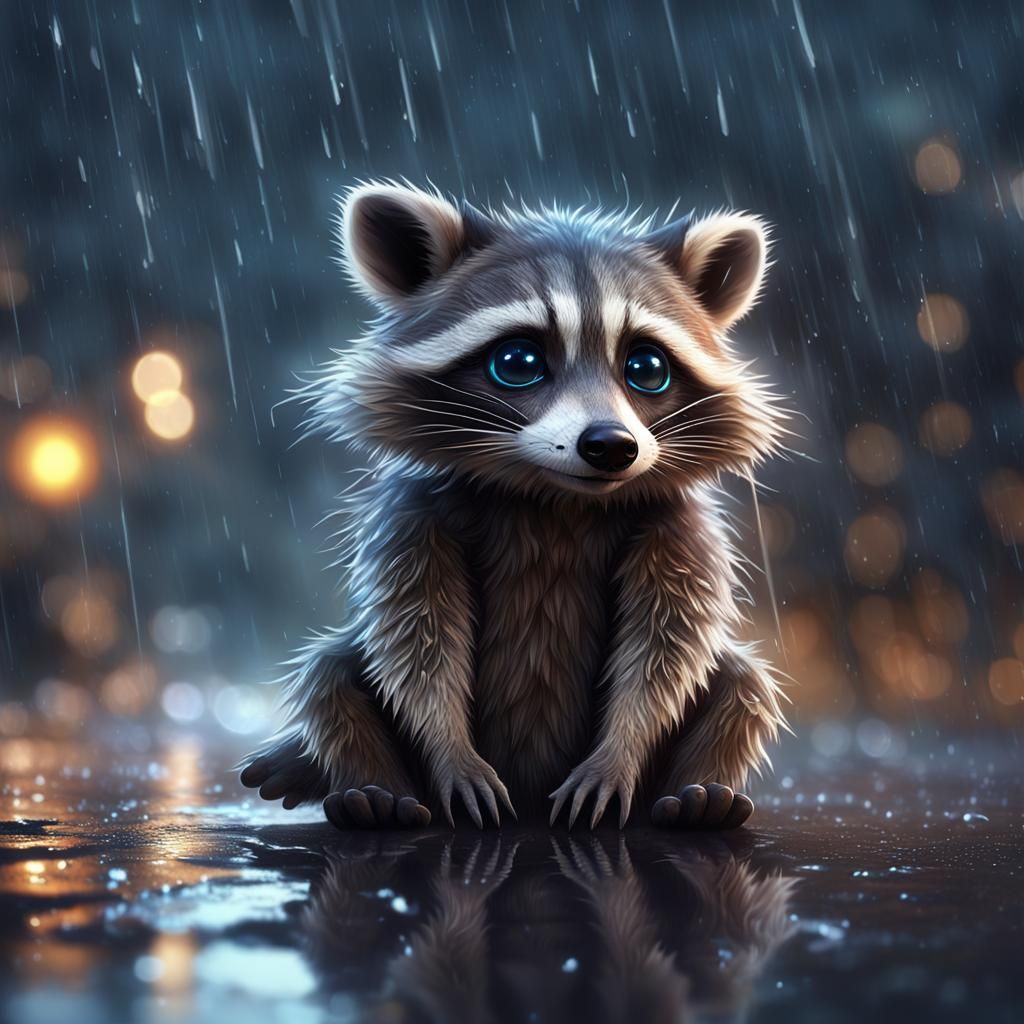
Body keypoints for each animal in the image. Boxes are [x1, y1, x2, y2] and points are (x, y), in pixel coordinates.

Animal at [240, 181, 790, 830]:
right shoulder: (416, 512)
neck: (554, 498)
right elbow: (418, 636)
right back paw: (376, 792)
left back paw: (699, 795)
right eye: (518, 362)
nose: (611, 446)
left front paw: (619, 755)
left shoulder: (677, 523)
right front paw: (450, 750)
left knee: (742, 684)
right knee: (330, 674)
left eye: (646, 368)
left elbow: (666, 648)